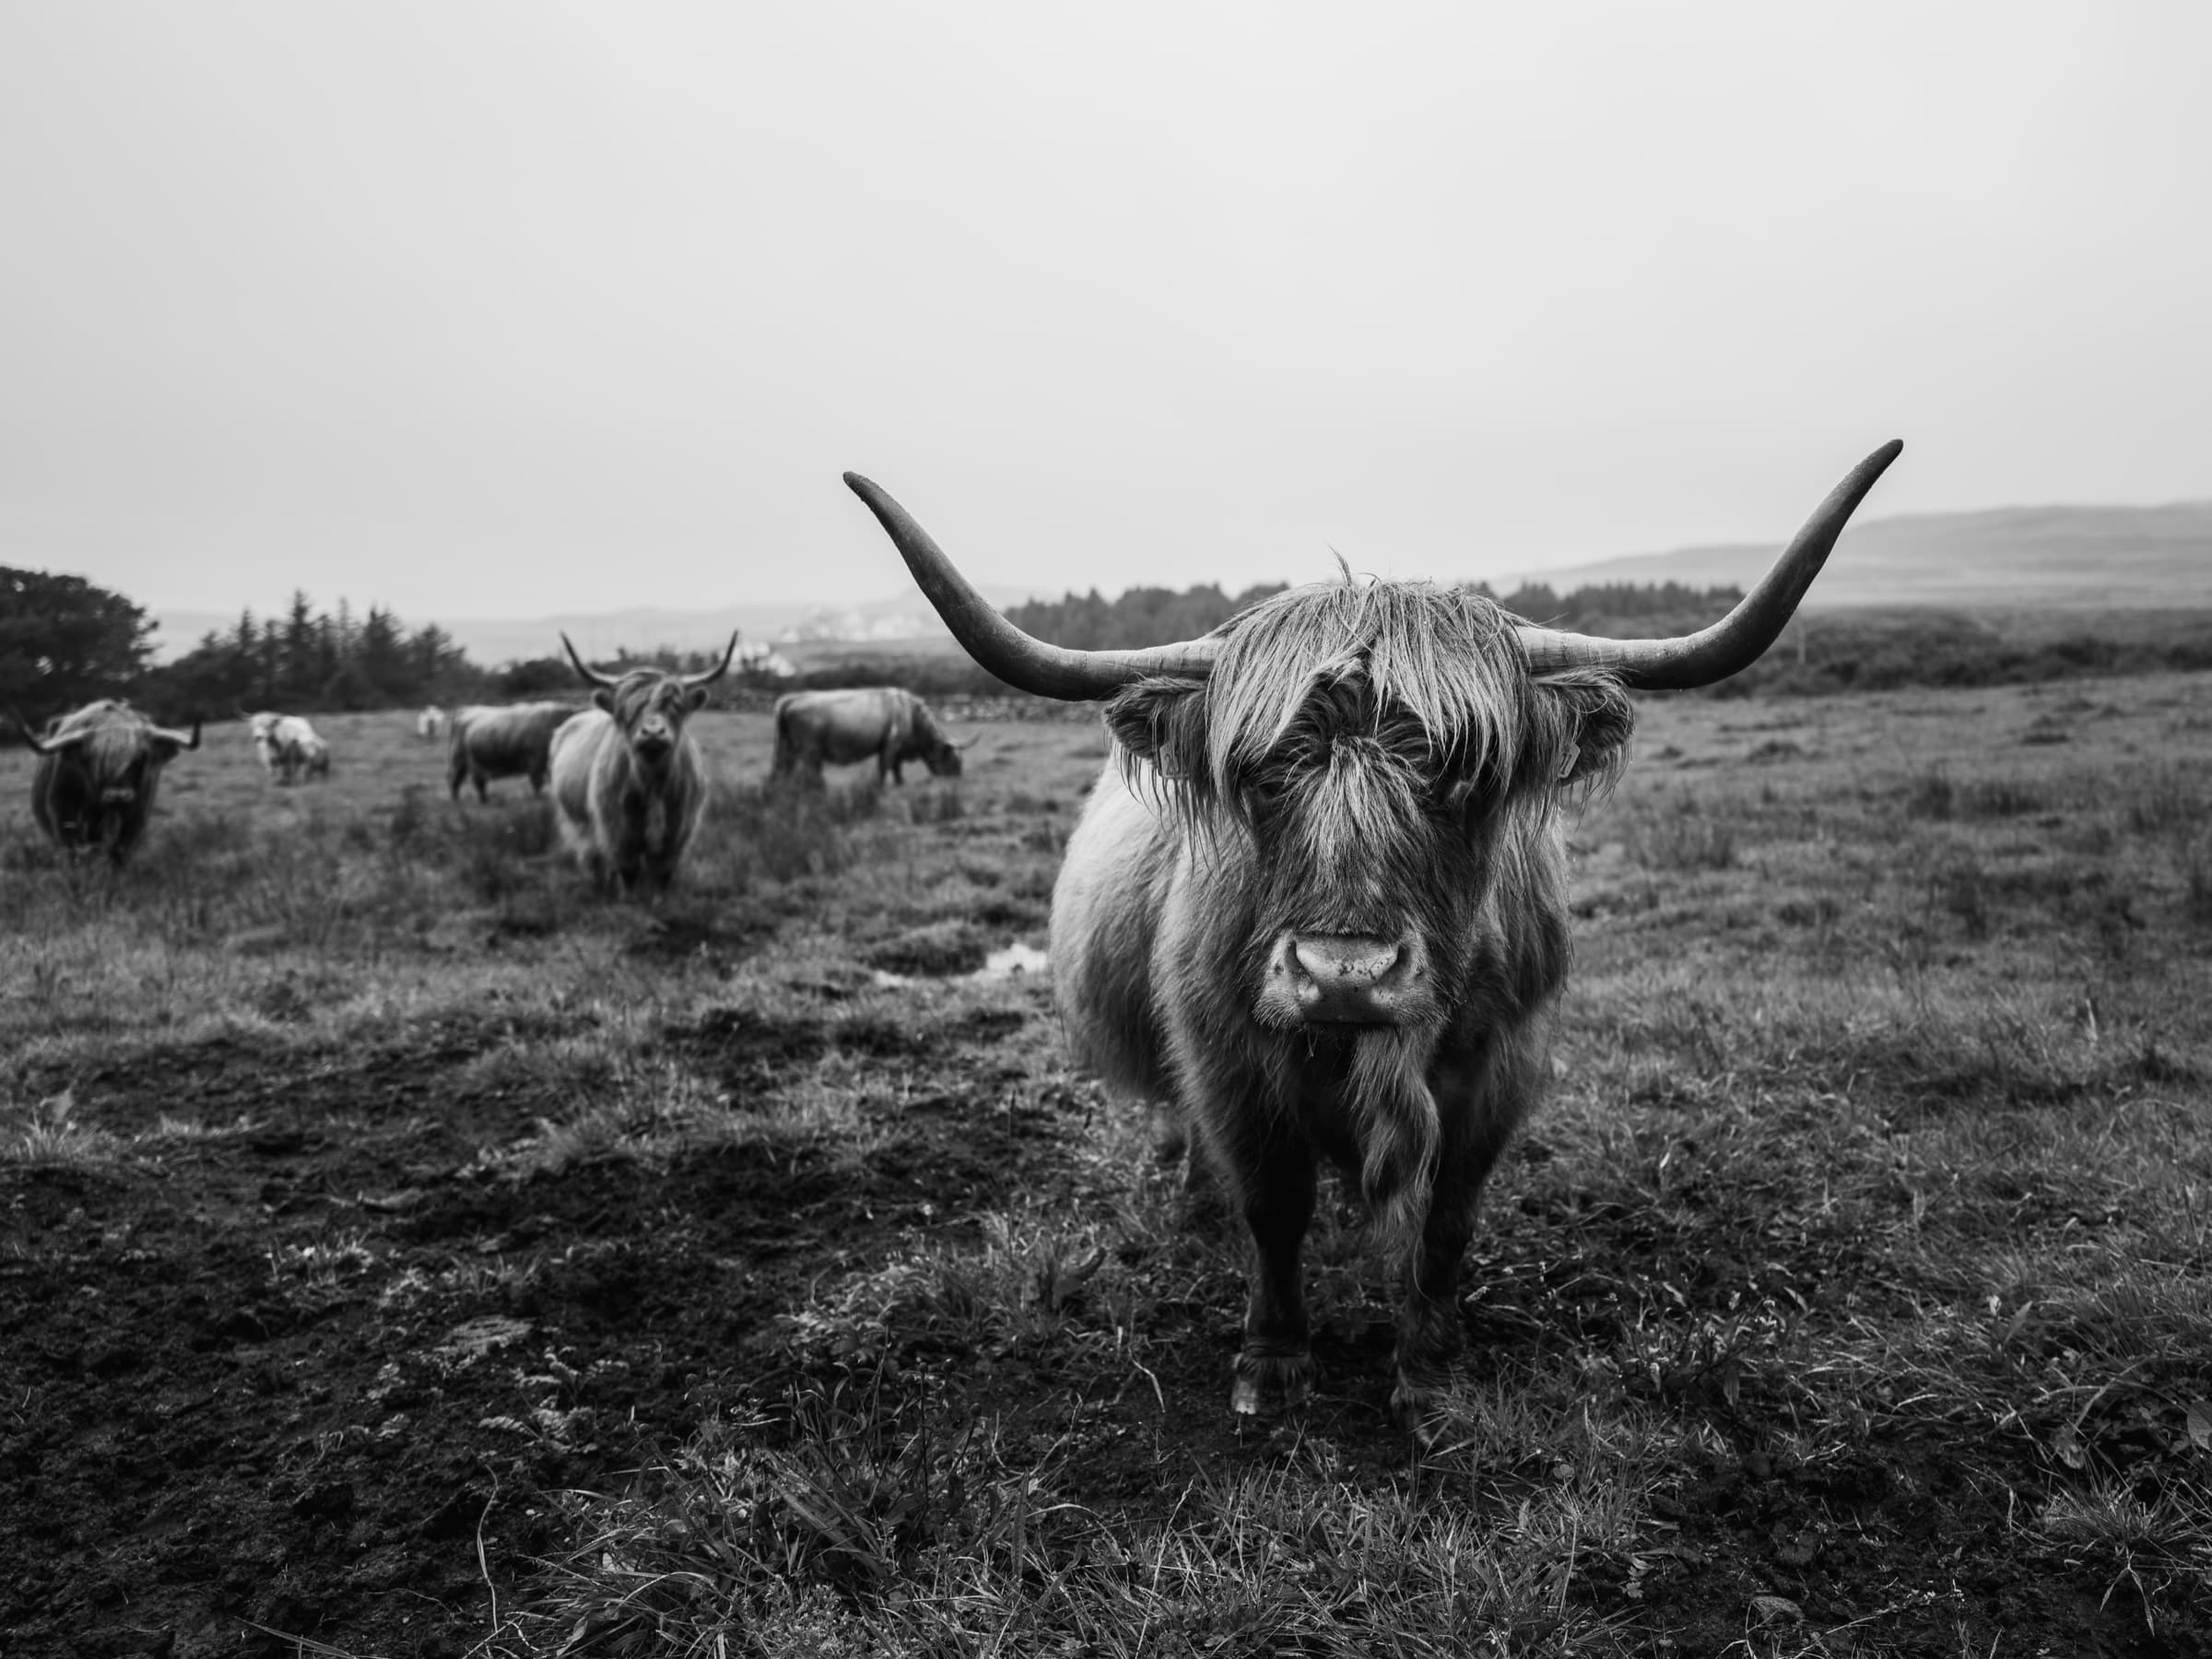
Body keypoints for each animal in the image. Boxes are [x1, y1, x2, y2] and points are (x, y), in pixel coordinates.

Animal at [15, 699, 202, 862]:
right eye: (93, 758)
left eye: (141, 757)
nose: (118, 795)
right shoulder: (64, 816)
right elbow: (78, 854)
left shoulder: (136, 819)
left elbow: (118, 853)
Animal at [445, 702, 578, 802]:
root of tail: (466, 709)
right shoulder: (536, 762)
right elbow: (537, 783)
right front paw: (539, 798)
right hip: (461, 760)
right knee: (458, 780)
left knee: (467, 782)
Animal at [548, 634, 736, 894]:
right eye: (628, 710)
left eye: (675, 706)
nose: (653, 733)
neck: (653, 783)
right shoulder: (619, 834)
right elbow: (629, 874)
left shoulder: (677, 833)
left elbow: (662, 876)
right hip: (578, 822)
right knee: (593, 858)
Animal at [770, 687, 971, 784]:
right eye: (954, 760)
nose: (958, 778)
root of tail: (790, 700)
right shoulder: (892, 744)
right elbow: (886, 766)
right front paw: (882, 786)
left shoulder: (894, 748)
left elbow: (895, 767)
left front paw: (900, 782)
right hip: (811, 749)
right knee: (813, 774)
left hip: (787, 747)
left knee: (782, 772)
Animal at [843, 442, 1901, 1436]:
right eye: (1260, 774)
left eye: (1468, 772)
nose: (1344, 976)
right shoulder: (1230, 1059)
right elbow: (1273, 1207)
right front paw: (1272, 1365)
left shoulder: (1500, 1066)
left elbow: (1449, 1219)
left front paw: (1428, 1369)